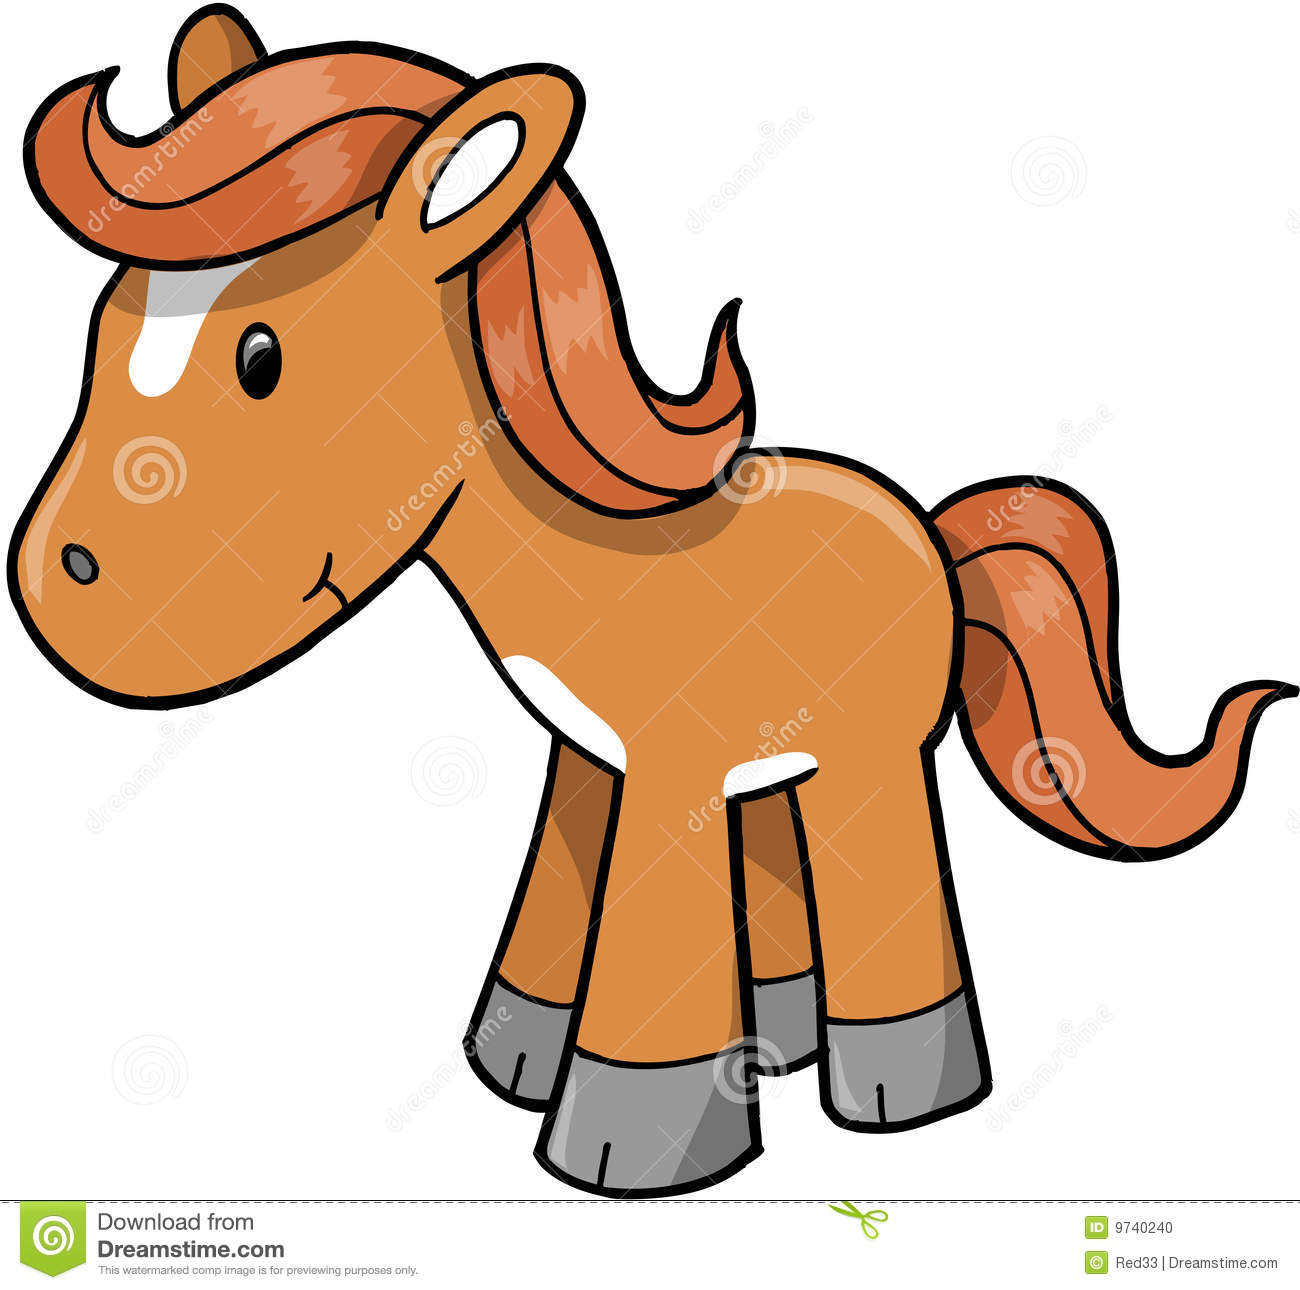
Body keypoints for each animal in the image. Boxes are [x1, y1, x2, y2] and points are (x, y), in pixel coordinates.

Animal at [12, 5, 1293, 1197]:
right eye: (111, 321)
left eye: (263, 358)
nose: (59, 582)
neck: (601, 550)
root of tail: (925, 529)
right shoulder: (590, 760)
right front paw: (516, 1065)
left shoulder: (669, 779)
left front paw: (627, 1151)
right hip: (779, 765)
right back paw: (781, 1041)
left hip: (872, 761)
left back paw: (898, 1097)